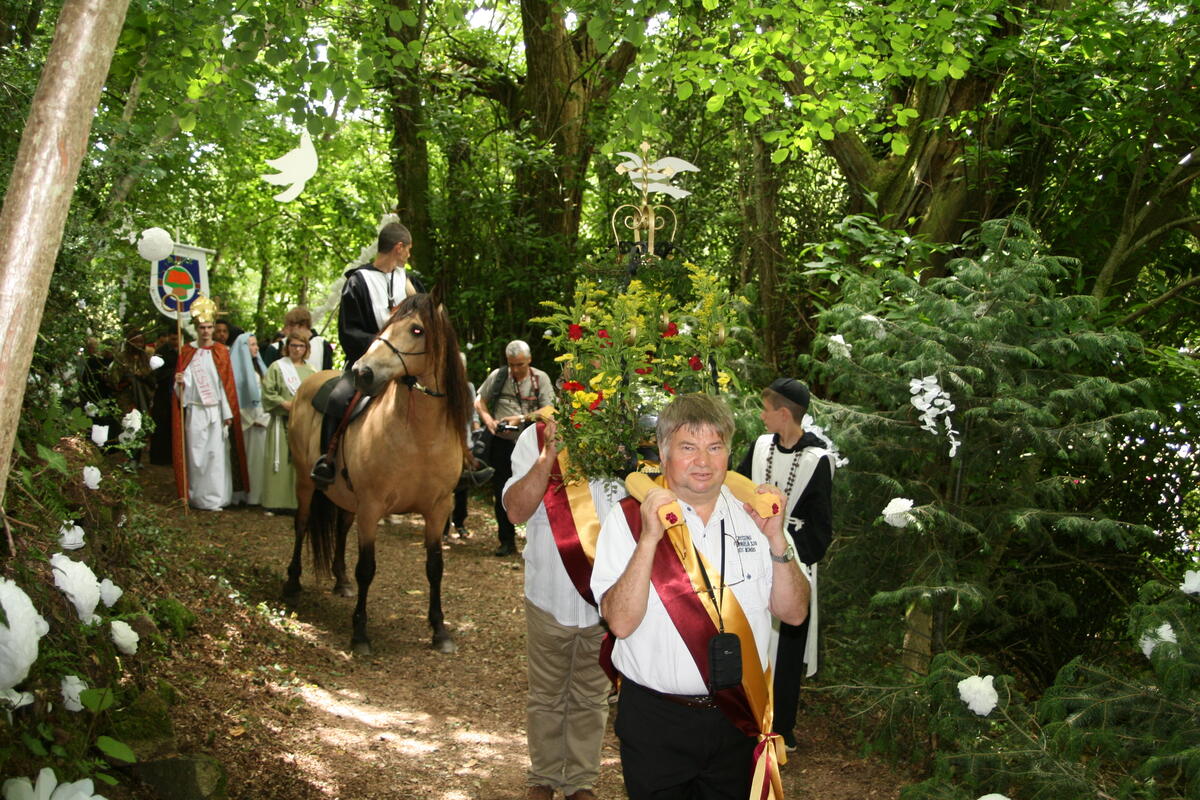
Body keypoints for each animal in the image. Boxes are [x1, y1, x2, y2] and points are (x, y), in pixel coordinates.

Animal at [280, 293, 468, 657]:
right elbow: (367, 568)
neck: (419, 437)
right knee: (301, 525)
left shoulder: (438, 509)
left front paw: (440, 631)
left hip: (346, 498)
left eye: (417, 329)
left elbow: (435, 568)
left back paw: (340, 581)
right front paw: (360, 634)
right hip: (305, 484)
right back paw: (292, 583)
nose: (362, 372)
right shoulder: (371, 507)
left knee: (340, 529)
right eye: (386, 325)